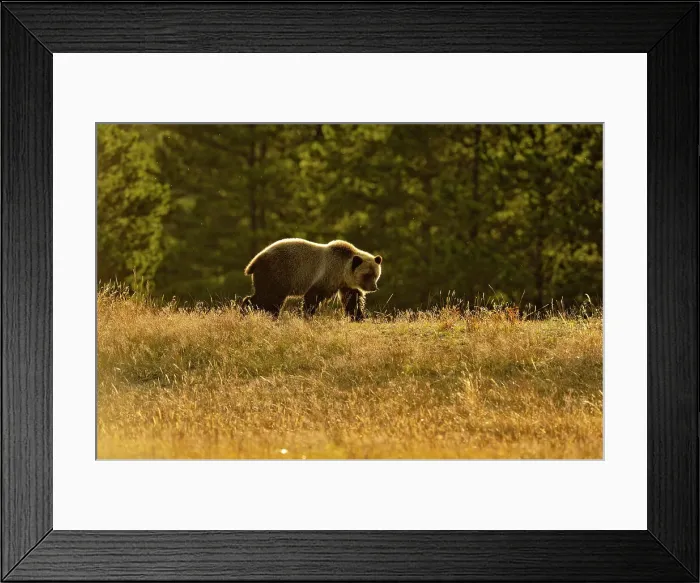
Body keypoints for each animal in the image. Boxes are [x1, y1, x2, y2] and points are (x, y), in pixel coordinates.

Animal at [241, 238, 382, 321]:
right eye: (367, 275)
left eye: (376, 275)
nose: (374, 287)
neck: (342, 271)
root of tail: (254, 262)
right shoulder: (327, 274)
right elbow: (312, 297)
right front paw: (307, 316)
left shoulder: (346, 284)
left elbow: (352, 300)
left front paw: (358, 317)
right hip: (276, 273)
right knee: (268, 298)